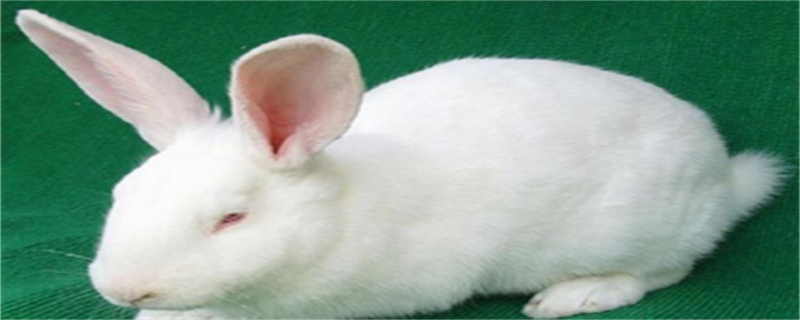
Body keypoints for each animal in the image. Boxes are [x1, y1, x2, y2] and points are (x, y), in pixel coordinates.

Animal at [15, 8, 784, 318]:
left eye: (231, 219)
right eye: (122, 195)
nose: (124, 291)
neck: (332, 210)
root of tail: (725, 177)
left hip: (633, 232)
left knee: (666, 270)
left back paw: (573, 297)